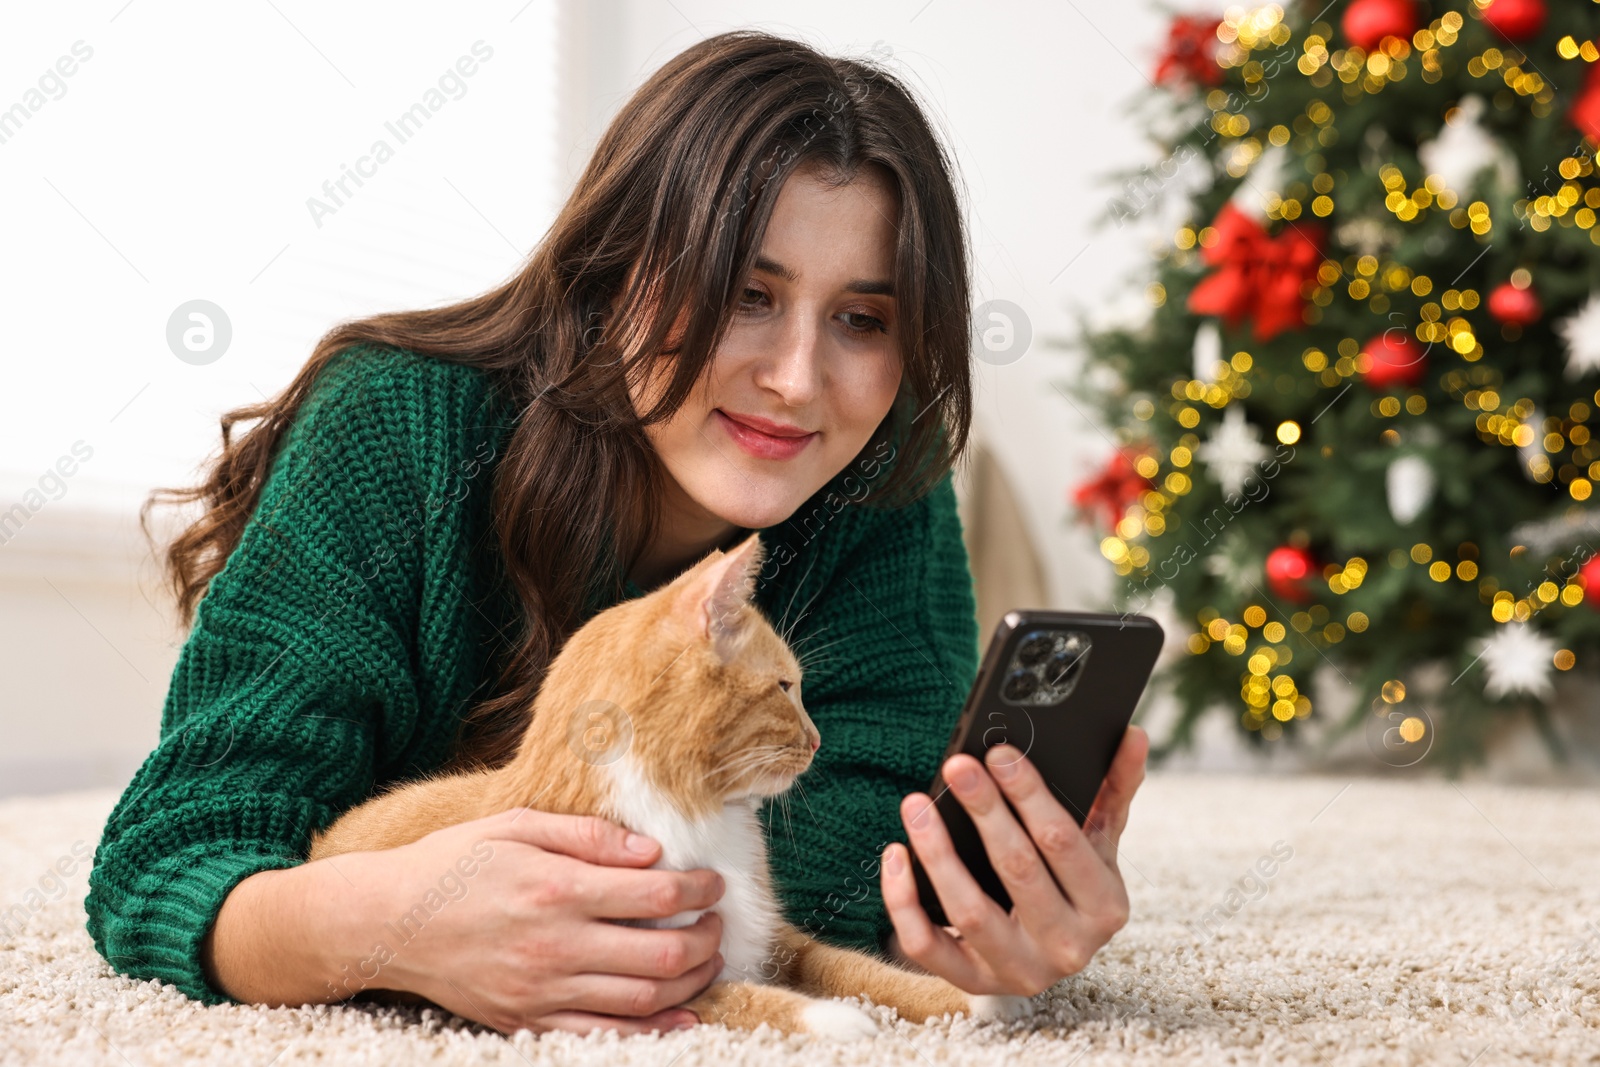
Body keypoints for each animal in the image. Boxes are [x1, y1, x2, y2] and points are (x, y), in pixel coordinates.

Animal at [308, 534, 1036, 1036]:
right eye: (785, 687)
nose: (818, 740)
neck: (708, 819)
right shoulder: (627, 979)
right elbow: (752, 999)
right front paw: (841, 1021)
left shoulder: (778, 938)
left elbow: (857, 967)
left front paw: (972, 995)